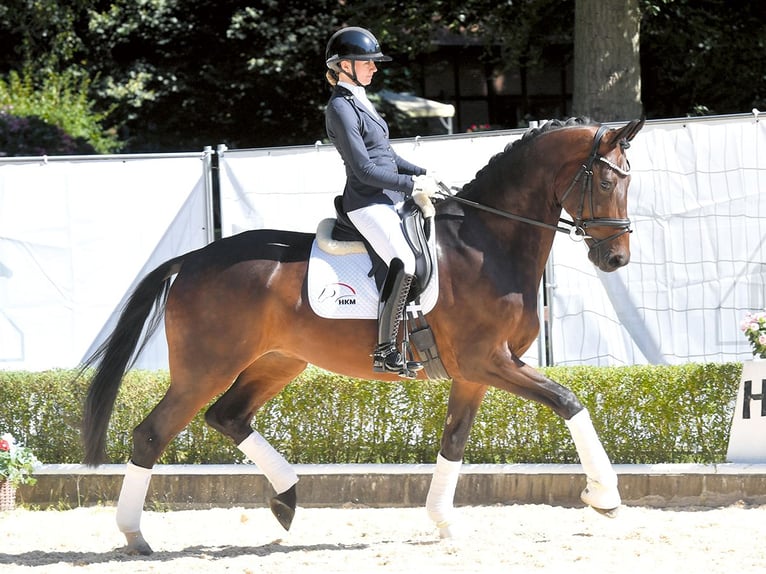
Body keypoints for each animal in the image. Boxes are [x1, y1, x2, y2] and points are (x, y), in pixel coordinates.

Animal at [79, 115, 640, 556]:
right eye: (605, 182)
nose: (617, 259)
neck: (488, 243)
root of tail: (192, 259)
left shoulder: (475, 373)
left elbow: (454, 441)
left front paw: (444, 522)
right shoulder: (487, 360)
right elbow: (568, 401)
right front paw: (605, 497)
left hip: (279, 360)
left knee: (228, 415)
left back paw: (286, 498)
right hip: (205, 368)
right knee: (153, 433)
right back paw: (135, 536)